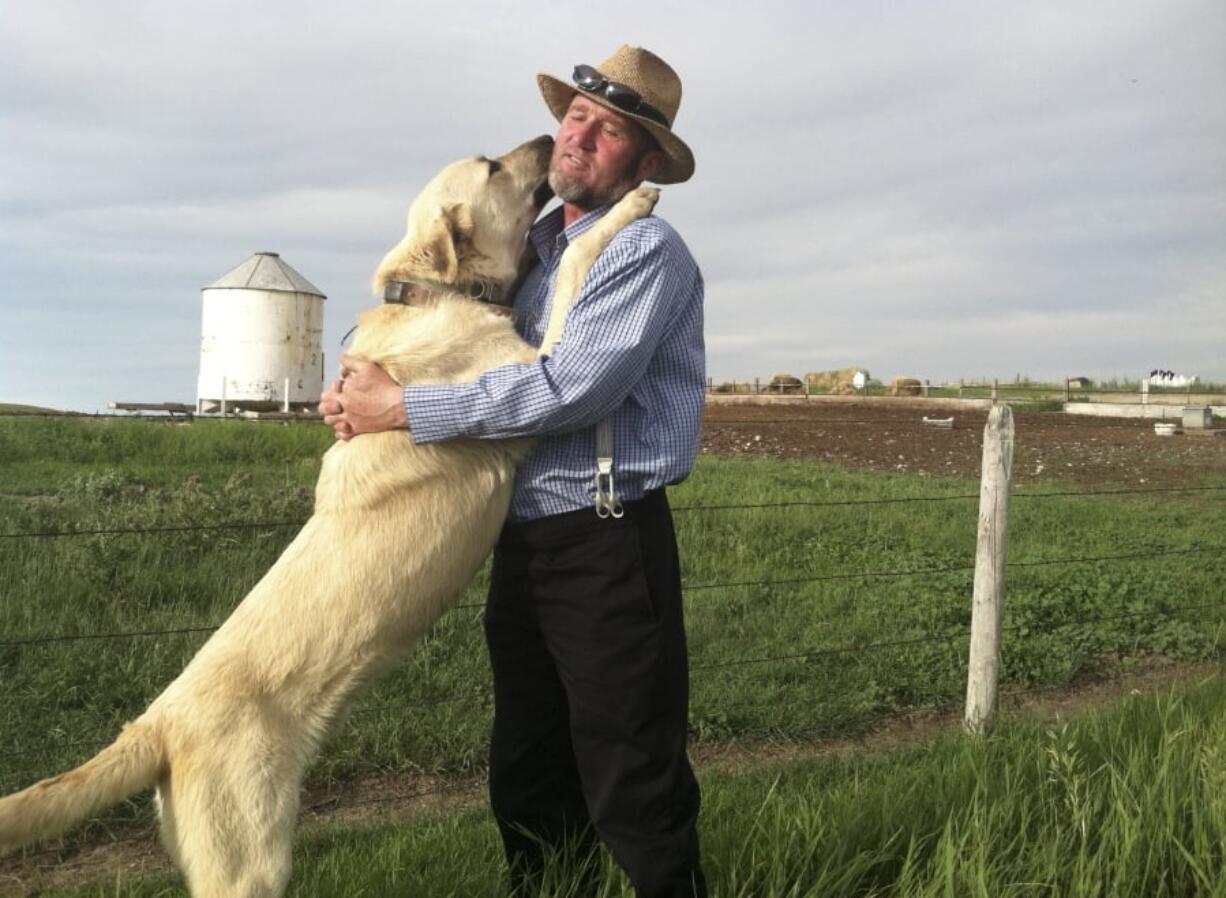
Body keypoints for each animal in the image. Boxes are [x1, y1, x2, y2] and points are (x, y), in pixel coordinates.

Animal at [0, 134, 662, 898]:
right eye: (494, 166)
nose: (551, 139)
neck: (431, 295)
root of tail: (157, 726)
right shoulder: (535, 372)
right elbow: (581, 267)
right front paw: (633, 204)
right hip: (249, 865)